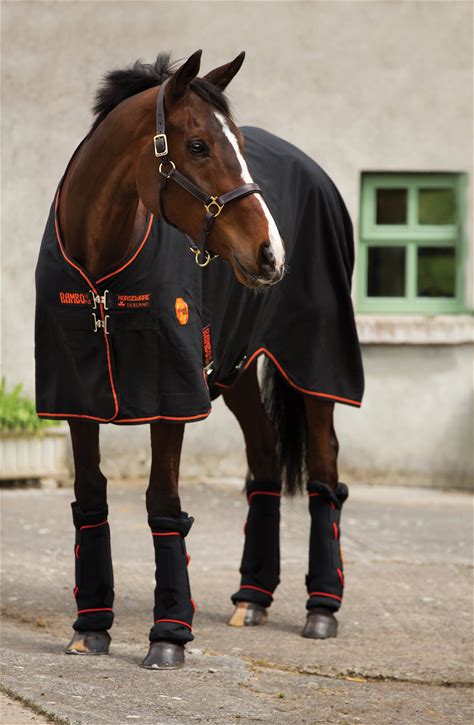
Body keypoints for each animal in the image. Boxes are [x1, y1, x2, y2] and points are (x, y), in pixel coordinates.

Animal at [35, 50, 364, 669]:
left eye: (239, 141)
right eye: (197, 146)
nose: (270, 253)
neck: (100, 271)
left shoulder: (171, 395)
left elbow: (164, 503)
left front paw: (168, 636)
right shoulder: (76, 397)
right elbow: (89, 497)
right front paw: (90, 627)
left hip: (315, 362)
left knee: (325, 467)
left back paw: (322, 608)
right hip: (234, 369)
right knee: (264, 456)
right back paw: (253, 598)